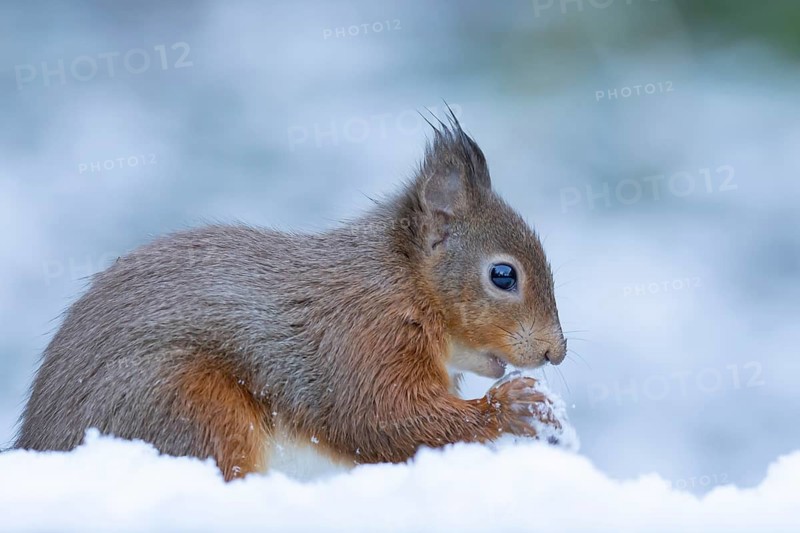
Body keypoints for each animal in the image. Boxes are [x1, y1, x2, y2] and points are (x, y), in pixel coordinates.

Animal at [14, 112, 567, 481]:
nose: (554, 352)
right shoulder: (360, 337)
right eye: (503, 275)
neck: (404, 285)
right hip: (188, 407)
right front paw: (510, 409)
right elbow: (382, 419)